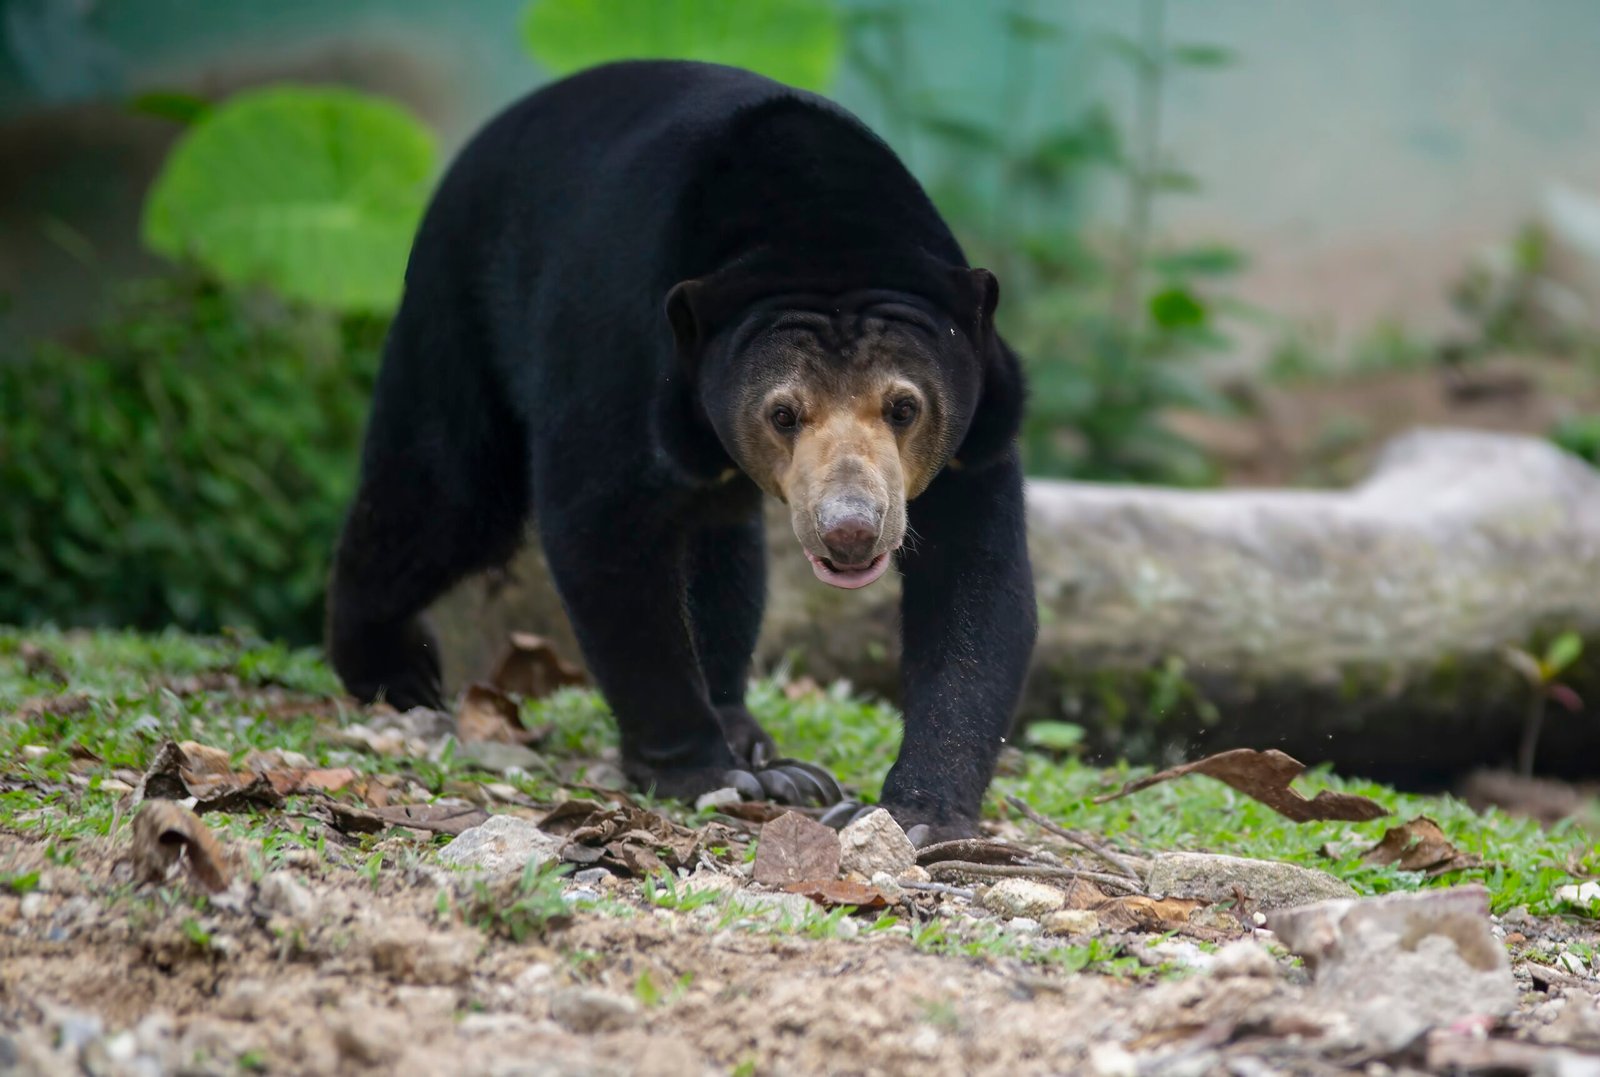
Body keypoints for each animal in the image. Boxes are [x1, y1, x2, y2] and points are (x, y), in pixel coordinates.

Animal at [331, 58, 1043, 844]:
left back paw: (764, 748)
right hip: (455, 305)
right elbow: (602, 531)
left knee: (719, 551)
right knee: (446, 498)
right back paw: (391, 671)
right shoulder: (624, 350)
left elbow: (973, 581)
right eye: (783, 412)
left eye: (904, 407)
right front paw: (703, 772)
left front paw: (909, 814)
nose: (851, 530)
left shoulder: (978, 427)